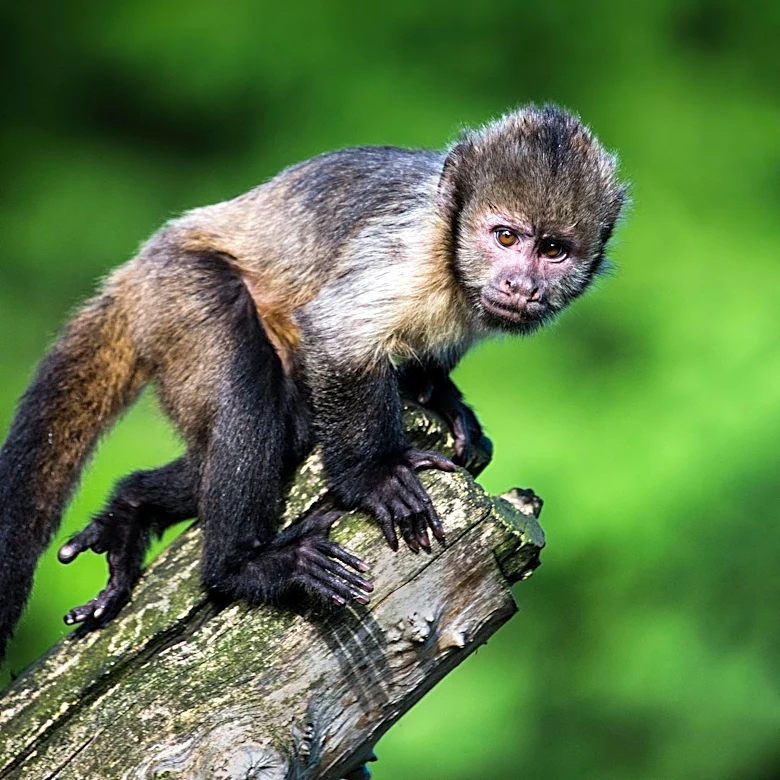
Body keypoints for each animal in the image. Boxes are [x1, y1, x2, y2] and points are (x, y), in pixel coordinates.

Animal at [0, 105, 626, 658]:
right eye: (505, 238)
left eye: (553, 249)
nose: (521, 284)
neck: (452, 259)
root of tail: (135, 272)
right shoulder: (409, 249)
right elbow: (337, 339)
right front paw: (375, 477)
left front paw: (444, 401)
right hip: (177, 293)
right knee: (257, 396)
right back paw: (240, 567)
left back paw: (132, 507)